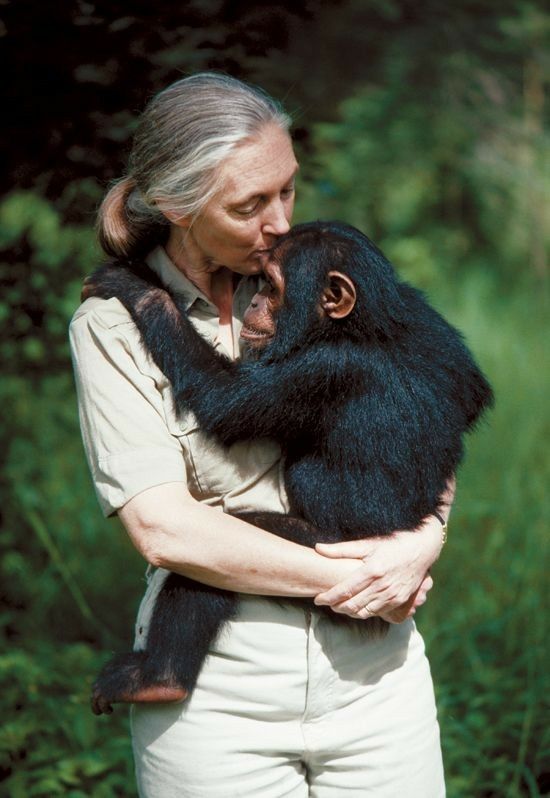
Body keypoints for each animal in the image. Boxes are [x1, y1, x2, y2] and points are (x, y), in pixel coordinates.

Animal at [86, 222, 496, 716]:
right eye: (259, 281)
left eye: (272, 286)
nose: (255, 303)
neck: (361, 325)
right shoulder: (430, 324)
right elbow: (471, 393)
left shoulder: (318, 371)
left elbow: (224, 399)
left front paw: (137, 286)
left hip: (322, 548)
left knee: (212, 555)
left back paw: (159, 678)